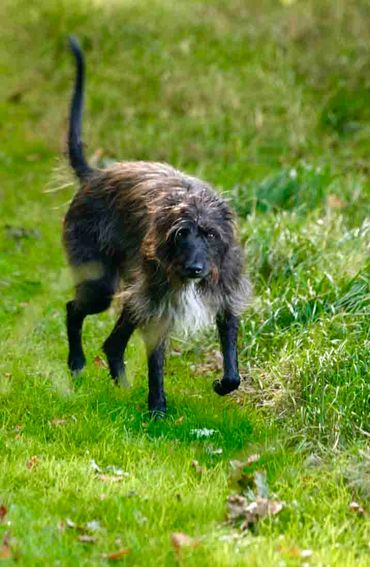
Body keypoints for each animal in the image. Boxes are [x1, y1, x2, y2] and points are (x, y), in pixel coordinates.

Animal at [62, 37, 251, 414]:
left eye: (209, 234)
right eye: (181, 234)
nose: (195, 269)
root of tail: (94, 176)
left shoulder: (225, 289)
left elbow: (232, 358)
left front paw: (223, 384)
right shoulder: (160, 301)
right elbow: (157, 360)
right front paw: (157, 408)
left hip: (133, 291)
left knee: (113, 342)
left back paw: (120, 385)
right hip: (102, 283)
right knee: (74, 310)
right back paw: (76, 363)